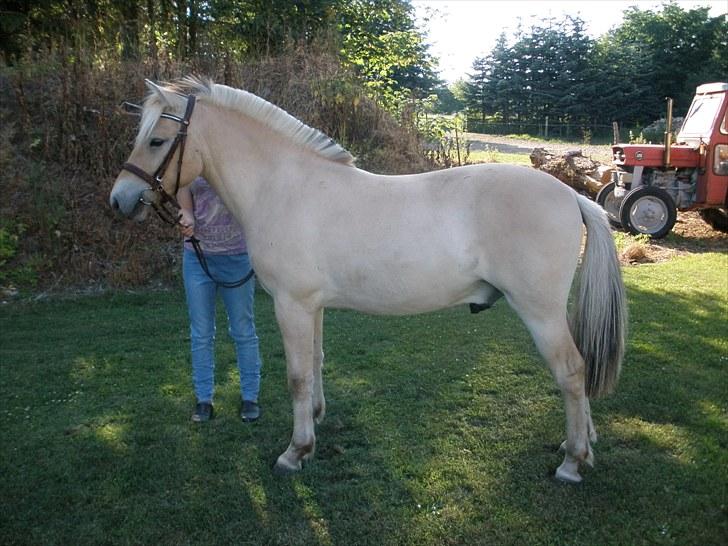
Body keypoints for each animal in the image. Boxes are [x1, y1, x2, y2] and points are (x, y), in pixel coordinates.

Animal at [108, 77, 624, 480]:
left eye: (156, 141)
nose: (121, 199)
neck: (284, 186)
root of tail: (572, 196)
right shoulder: (311, 306)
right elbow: (315, 362)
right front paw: (315, 422)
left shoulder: (291, 304)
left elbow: (297, 375)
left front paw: (295, 452)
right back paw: (577, 445)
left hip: (540, 312)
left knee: (571, 371)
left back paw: (572, 462)